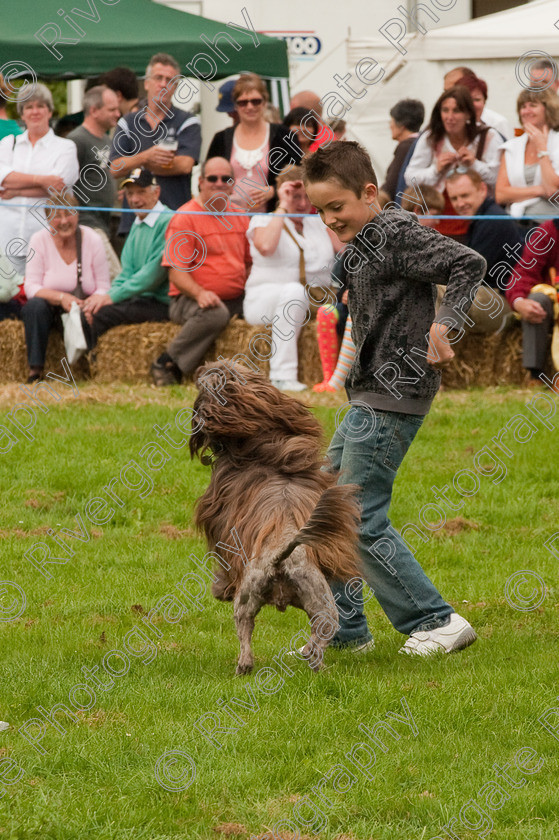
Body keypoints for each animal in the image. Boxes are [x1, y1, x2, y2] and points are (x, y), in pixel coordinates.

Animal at [189, 360, 364, 676]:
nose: (204, 367)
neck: (260, 447)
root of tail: (281, 558)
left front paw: (219, 588)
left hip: (252, 601)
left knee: (248, 638)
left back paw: (248, 666)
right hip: (321, 606)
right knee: (316, 643)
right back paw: (310, 661)